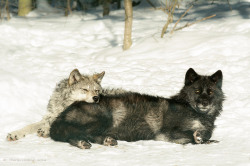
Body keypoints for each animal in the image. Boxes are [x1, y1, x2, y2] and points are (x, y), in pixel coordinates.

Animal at [49, 68, 225, 148]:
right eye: (197, 91)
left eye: (210, 92)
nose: (204, 103)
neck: (197, 113)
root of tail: (61, 115)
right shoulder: (167, 133)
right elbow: (191, 136)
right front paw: (198, 138)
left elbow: (206, 137)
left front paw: (207, 139)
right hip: (104, 118)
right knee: (74, 134)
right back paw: (82, 142)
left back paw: (106, 140)